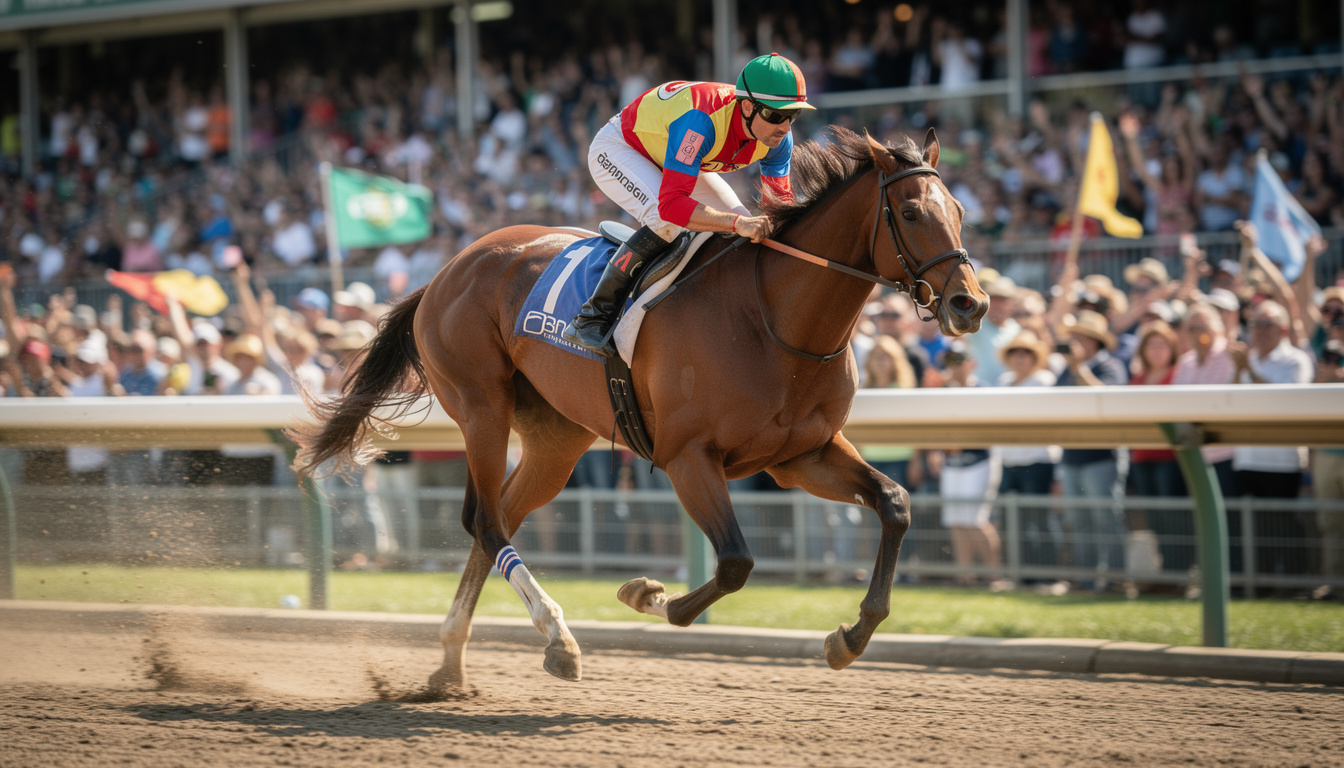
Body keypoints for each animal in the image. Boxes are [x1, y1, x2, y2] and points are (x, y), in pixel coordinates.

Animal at [292, 126, 988, 694]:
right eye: (910, 210)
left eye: (958, 211)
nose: (970, 305)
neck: (775, 316)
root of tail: (446, 270)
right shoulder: (688, 458)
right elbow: (735, 563)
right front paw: (644, 593)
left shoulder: (800, 456)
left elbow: (894, 503)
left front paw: (850, 637)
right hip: (481, 408)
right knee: (487, 522)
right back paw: (557, 640)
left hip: (557, 439)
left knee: (497, 520)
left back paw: (452, 663)